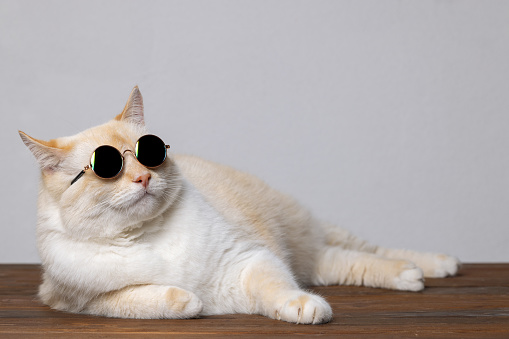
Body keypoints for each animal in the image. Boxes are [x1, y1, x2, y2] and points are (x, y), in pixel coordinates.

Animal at [17, 86, 458, 326]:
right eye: (108, 167)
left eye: (149, 154)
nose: (143, 178)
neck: (145, 237)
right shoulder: (78, 300)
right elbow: (143, 298)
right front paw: (189, 302)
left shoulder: (249, 258)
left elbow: (278, 289)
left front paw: (304, 307)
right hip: (312, 258)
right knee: (343, 263)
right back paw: (412, 274)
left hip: (304, 236)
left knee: (368, 251)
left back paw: (429, 266)